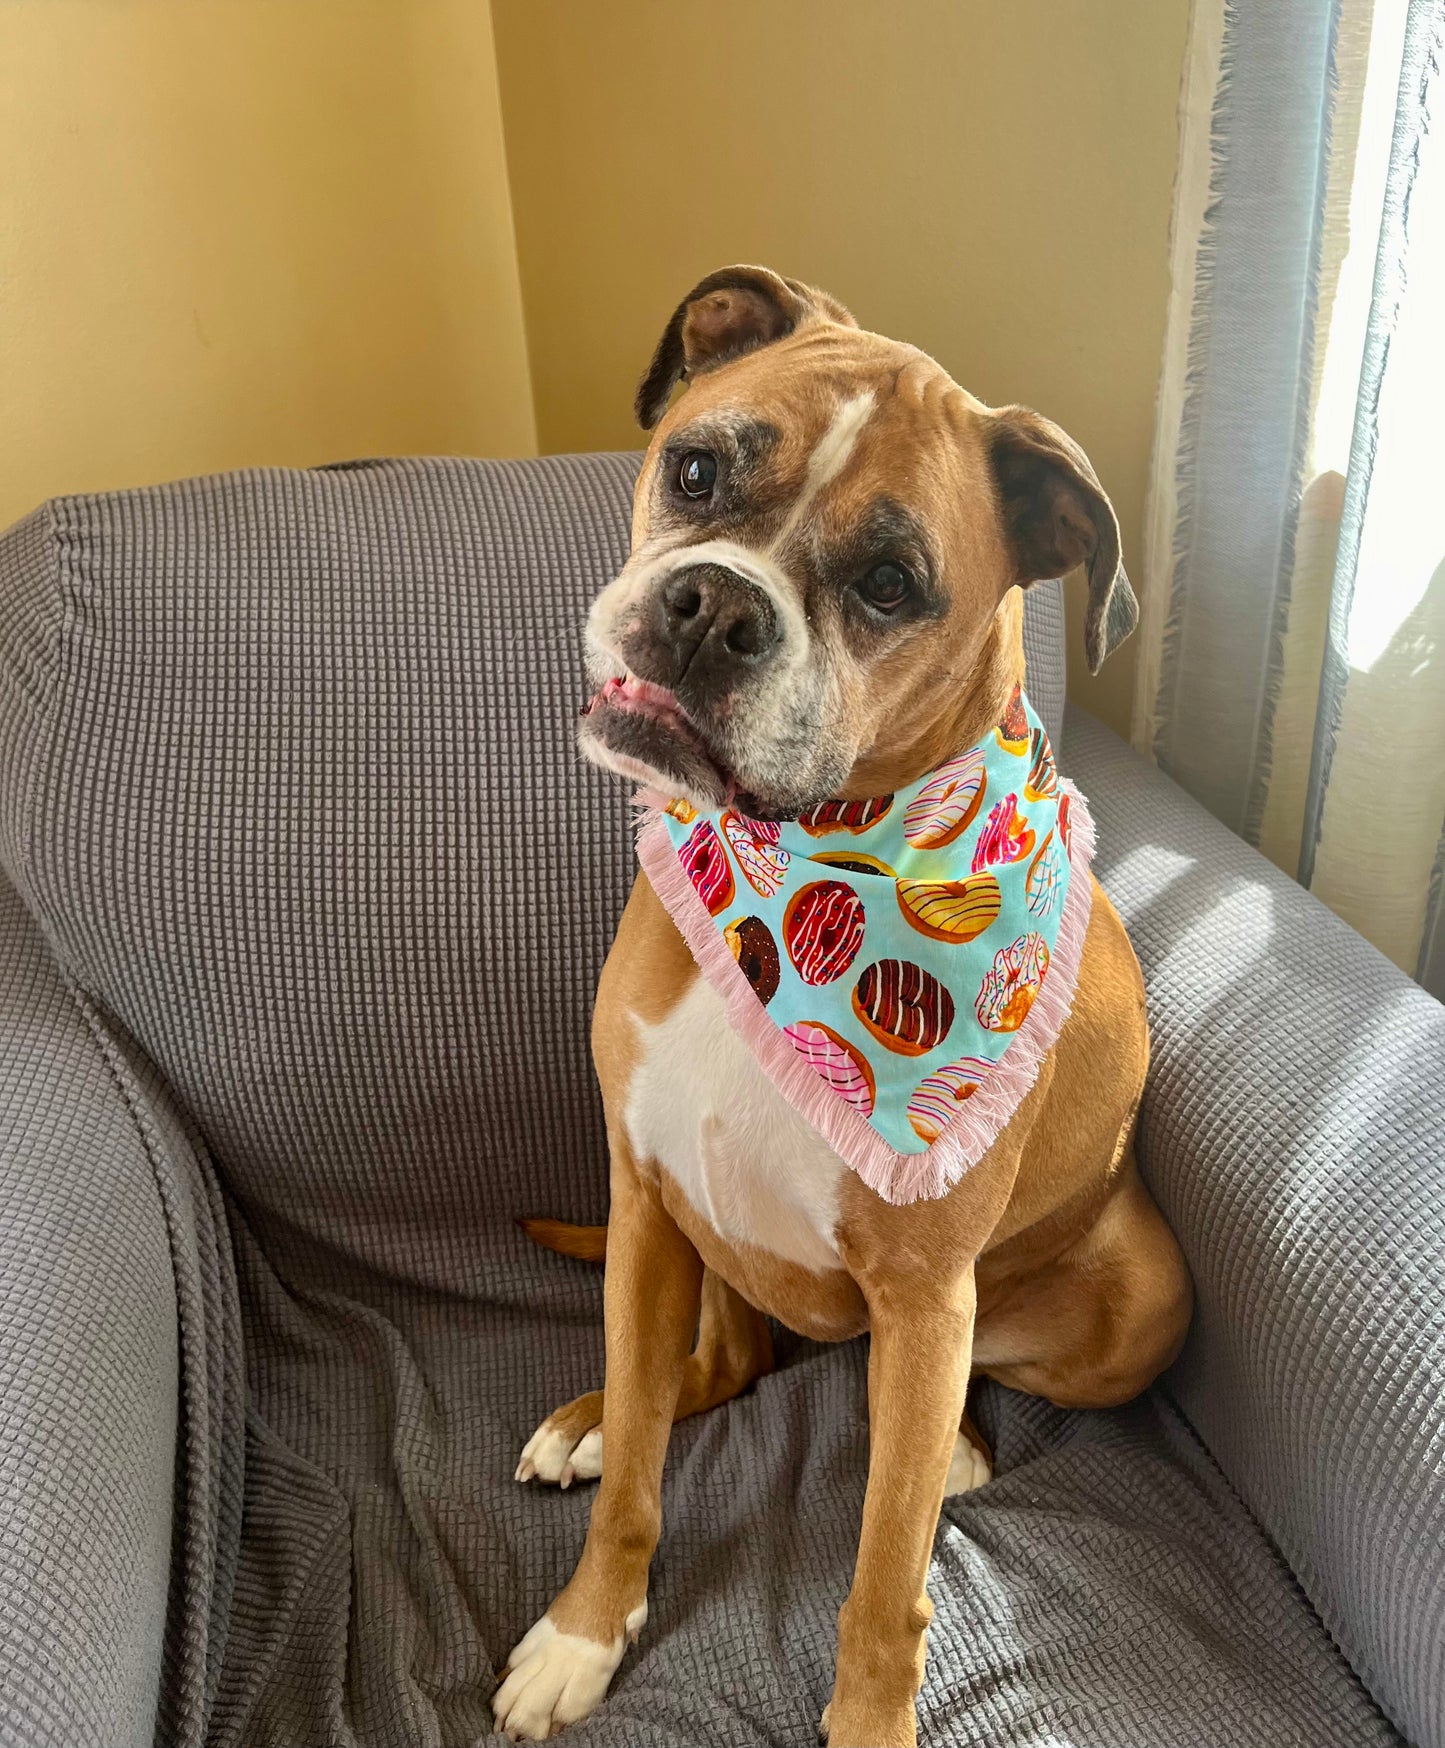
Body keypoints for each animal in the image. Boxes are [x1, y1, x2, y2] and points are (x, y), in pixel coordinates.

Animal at [492, 269, 1195, 1748]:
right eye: (695, 470)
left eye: (887, 586)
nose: (712, 604)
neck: (798, 860)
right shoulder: (645, 1202)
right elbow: (642, 1471)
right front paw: (587, 1625)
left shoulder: (927, 1304)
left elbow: (884, 1578)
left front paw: (870, 1713)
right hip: (698, 1251)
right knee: (705, 1373)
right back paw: (587, 1419)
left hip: (1131, 1301)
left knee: (926, 1413)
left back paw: (965, 1447)